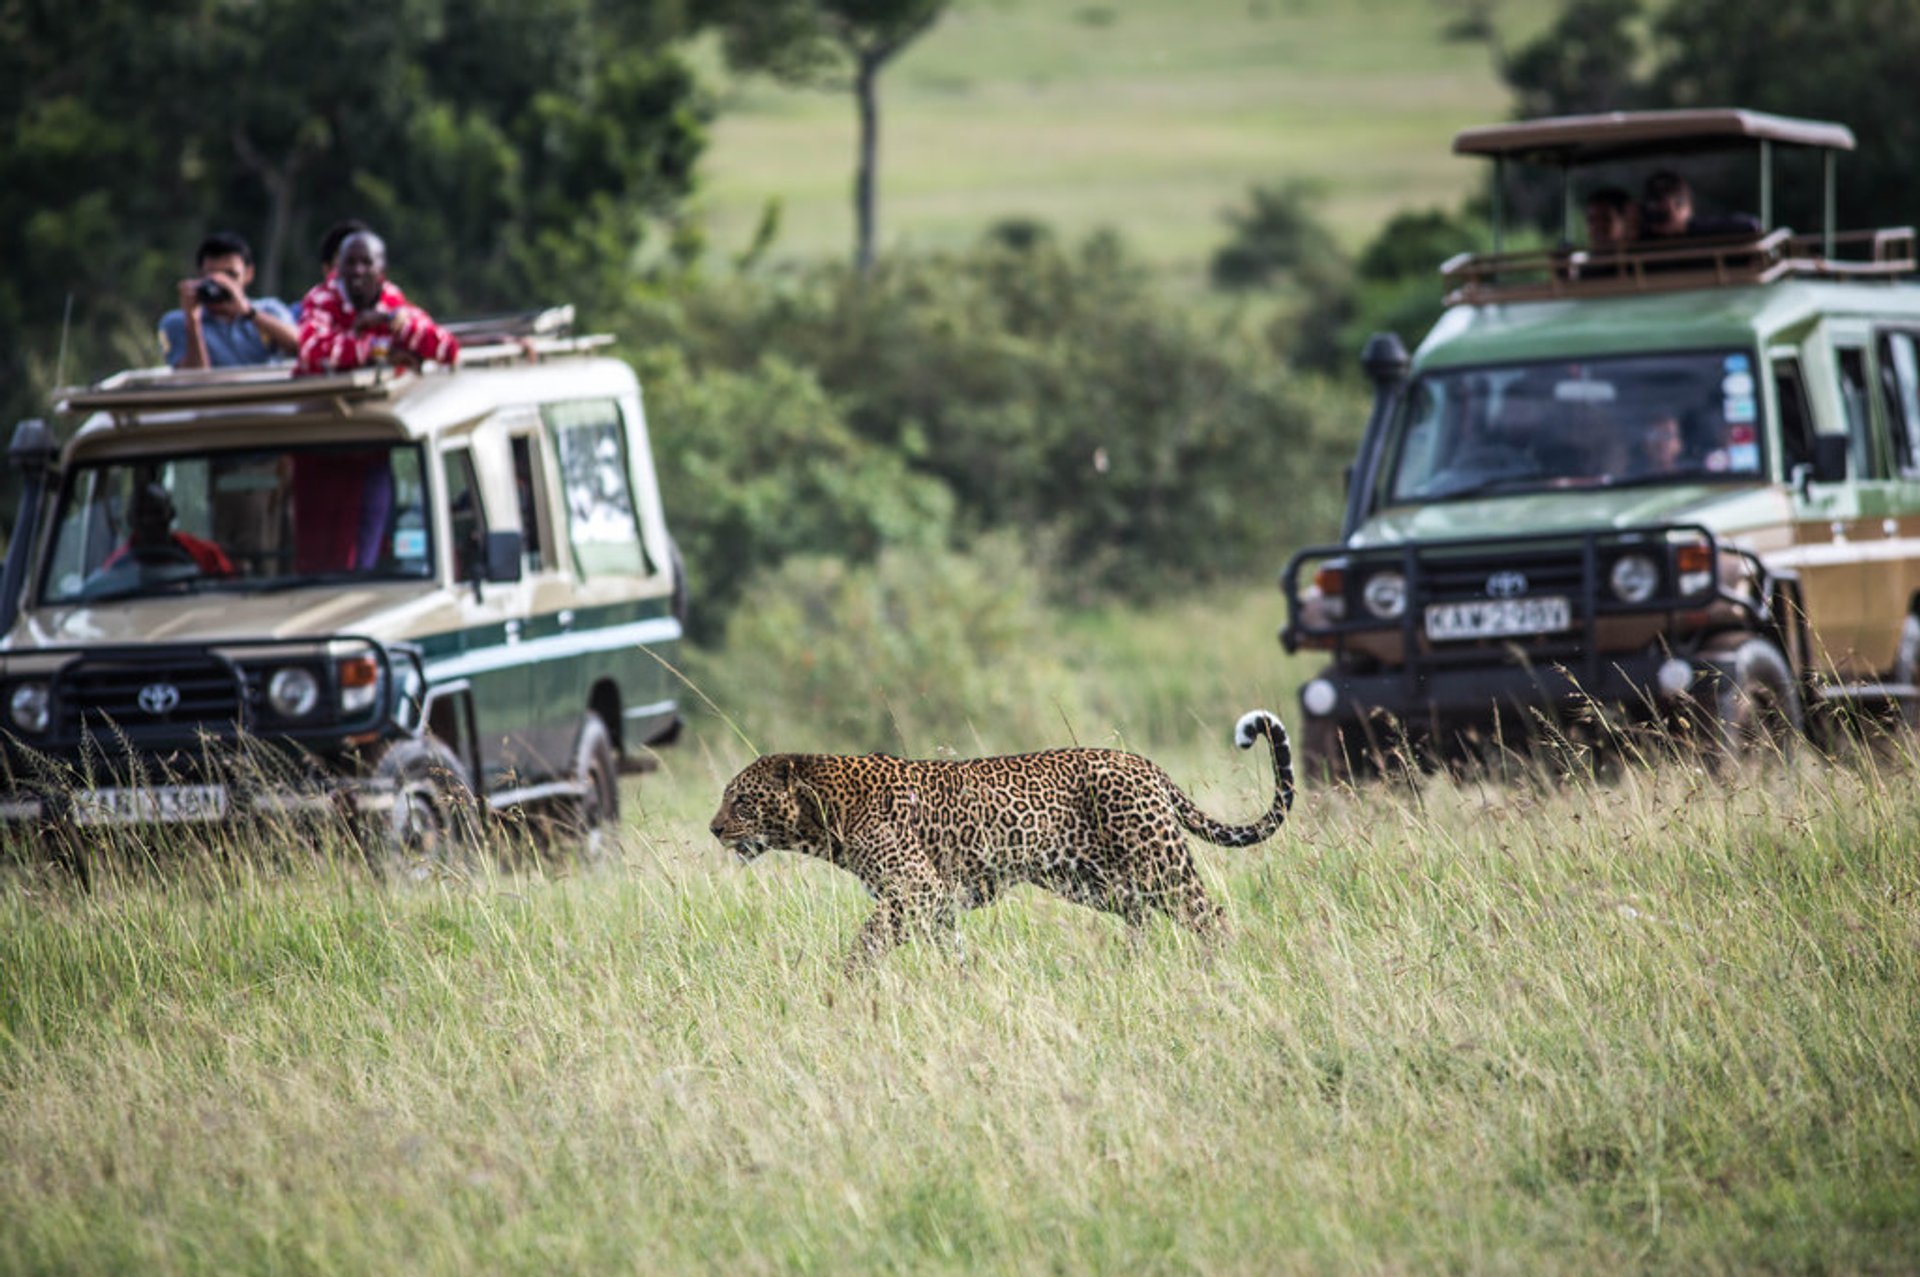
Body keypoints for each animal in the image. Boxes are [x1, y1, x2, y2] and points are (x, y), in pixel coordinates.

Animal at [706, 706, 1290, 967]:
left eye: (741, 800)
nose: (713, 828)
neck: (825, 814)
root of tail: (1146, 764)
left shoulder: (916, 891)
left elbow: (866, 940)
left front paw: (848, 981)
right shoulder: (934, 902)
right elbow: (950, 951)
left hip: (1159, 863)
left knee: (1209, 916)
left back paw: (1219, 968)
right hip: (1096, 882)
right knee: (1141, 915)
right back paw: (1133, 967)